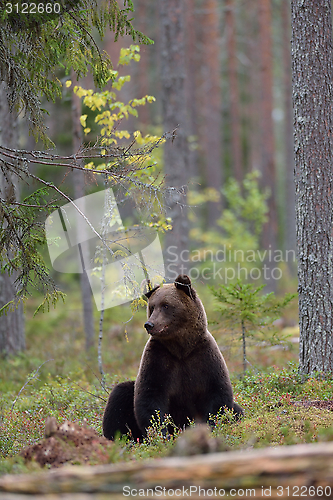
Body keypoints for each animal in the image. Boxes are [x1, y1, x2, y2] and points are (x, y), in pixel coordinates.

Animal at [102, 274, 243, 442]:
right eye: (152, 307)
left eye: (166, 305)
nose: (149, 324)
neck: (181, 349)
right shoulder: (158, 359)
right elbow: (150, 398)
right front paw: (162, 434)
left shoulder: (204, 357)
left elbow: (218, 393)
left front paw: (210, 427)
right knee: (119, 396)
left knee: (238, 410)